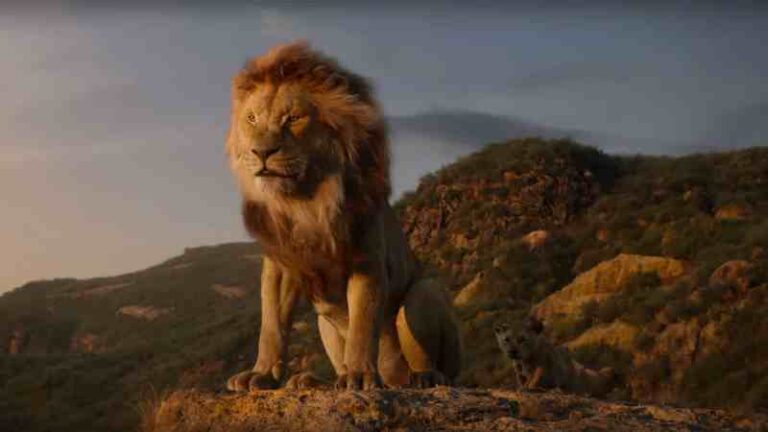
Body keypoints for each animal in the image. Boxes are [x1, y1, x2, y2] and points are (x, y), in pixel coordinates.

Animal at [223, 41, 462, 391]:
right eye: (252, 118)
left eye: (293, 118)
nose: (261, 152)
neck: (305, 201)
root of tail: (394, 380)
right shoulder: (281, 263)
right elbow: (271, 324)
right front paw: (262, 373)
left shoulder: (366, 259)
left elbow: (363, 321)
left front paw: (359, 375)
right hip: (324, 322)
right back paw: (310, 381)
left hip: (425, 293)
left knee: (440, 366)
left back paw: (424, 377)